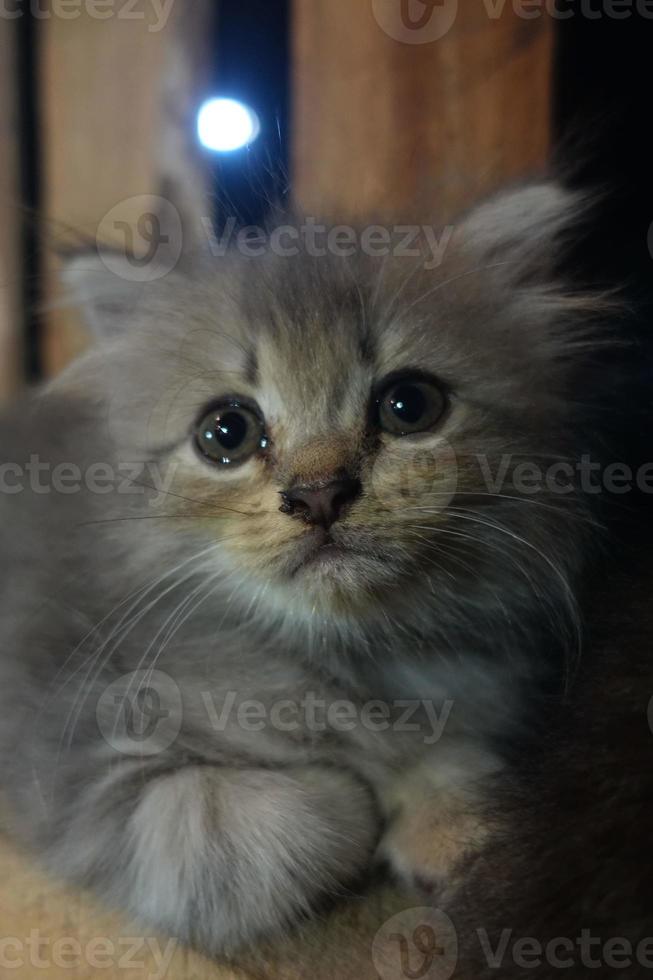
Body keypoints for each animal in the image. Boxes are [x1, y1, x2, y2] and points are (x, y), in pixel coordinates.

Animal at [0, 184, 612, 956]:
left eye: (409, 404)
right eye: (226, 432)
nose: (320, 493)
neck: (347, 660)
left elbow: (459, 760)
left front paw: (454, 819)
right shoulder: (77, 760)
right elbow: (291, 821)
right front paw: (360, 794)